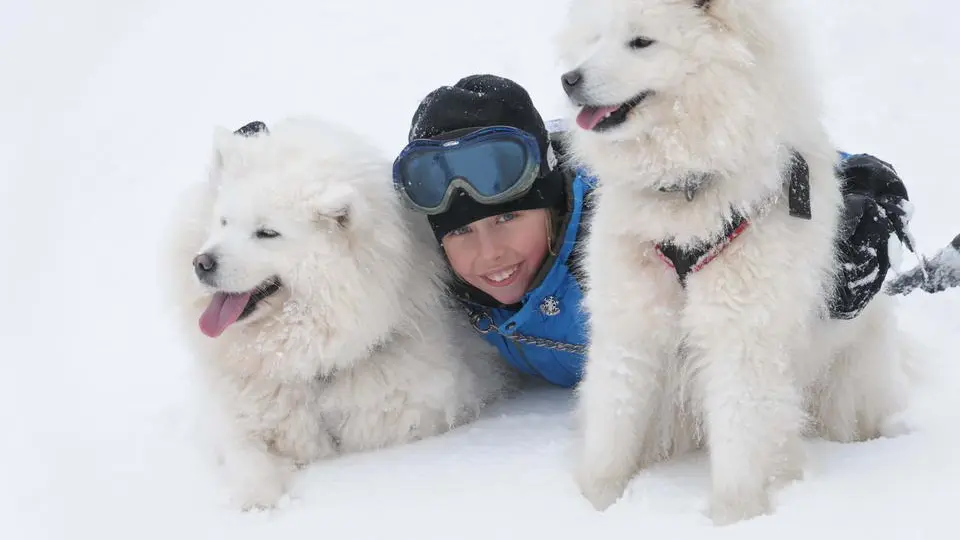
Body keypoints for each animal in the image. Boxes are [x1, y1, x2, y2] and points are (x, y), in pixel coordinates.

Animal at [167, 116, 510, 508]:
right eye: (223, 222)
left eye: (267, 233)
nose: (202, 263)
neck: (312, 368)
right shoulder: (238, 419)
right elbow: (248, 456)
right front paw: (259, 498)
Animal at [556, 0, 908, 524]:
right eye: (595, 39)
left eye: (641, 42)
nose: (568, 79)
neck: (686, 193)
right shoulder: (630, 325)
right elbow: (612, 429)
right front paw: (595, 506)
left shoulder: (740, 336)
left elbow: (740, 442)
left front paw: (734, 518)